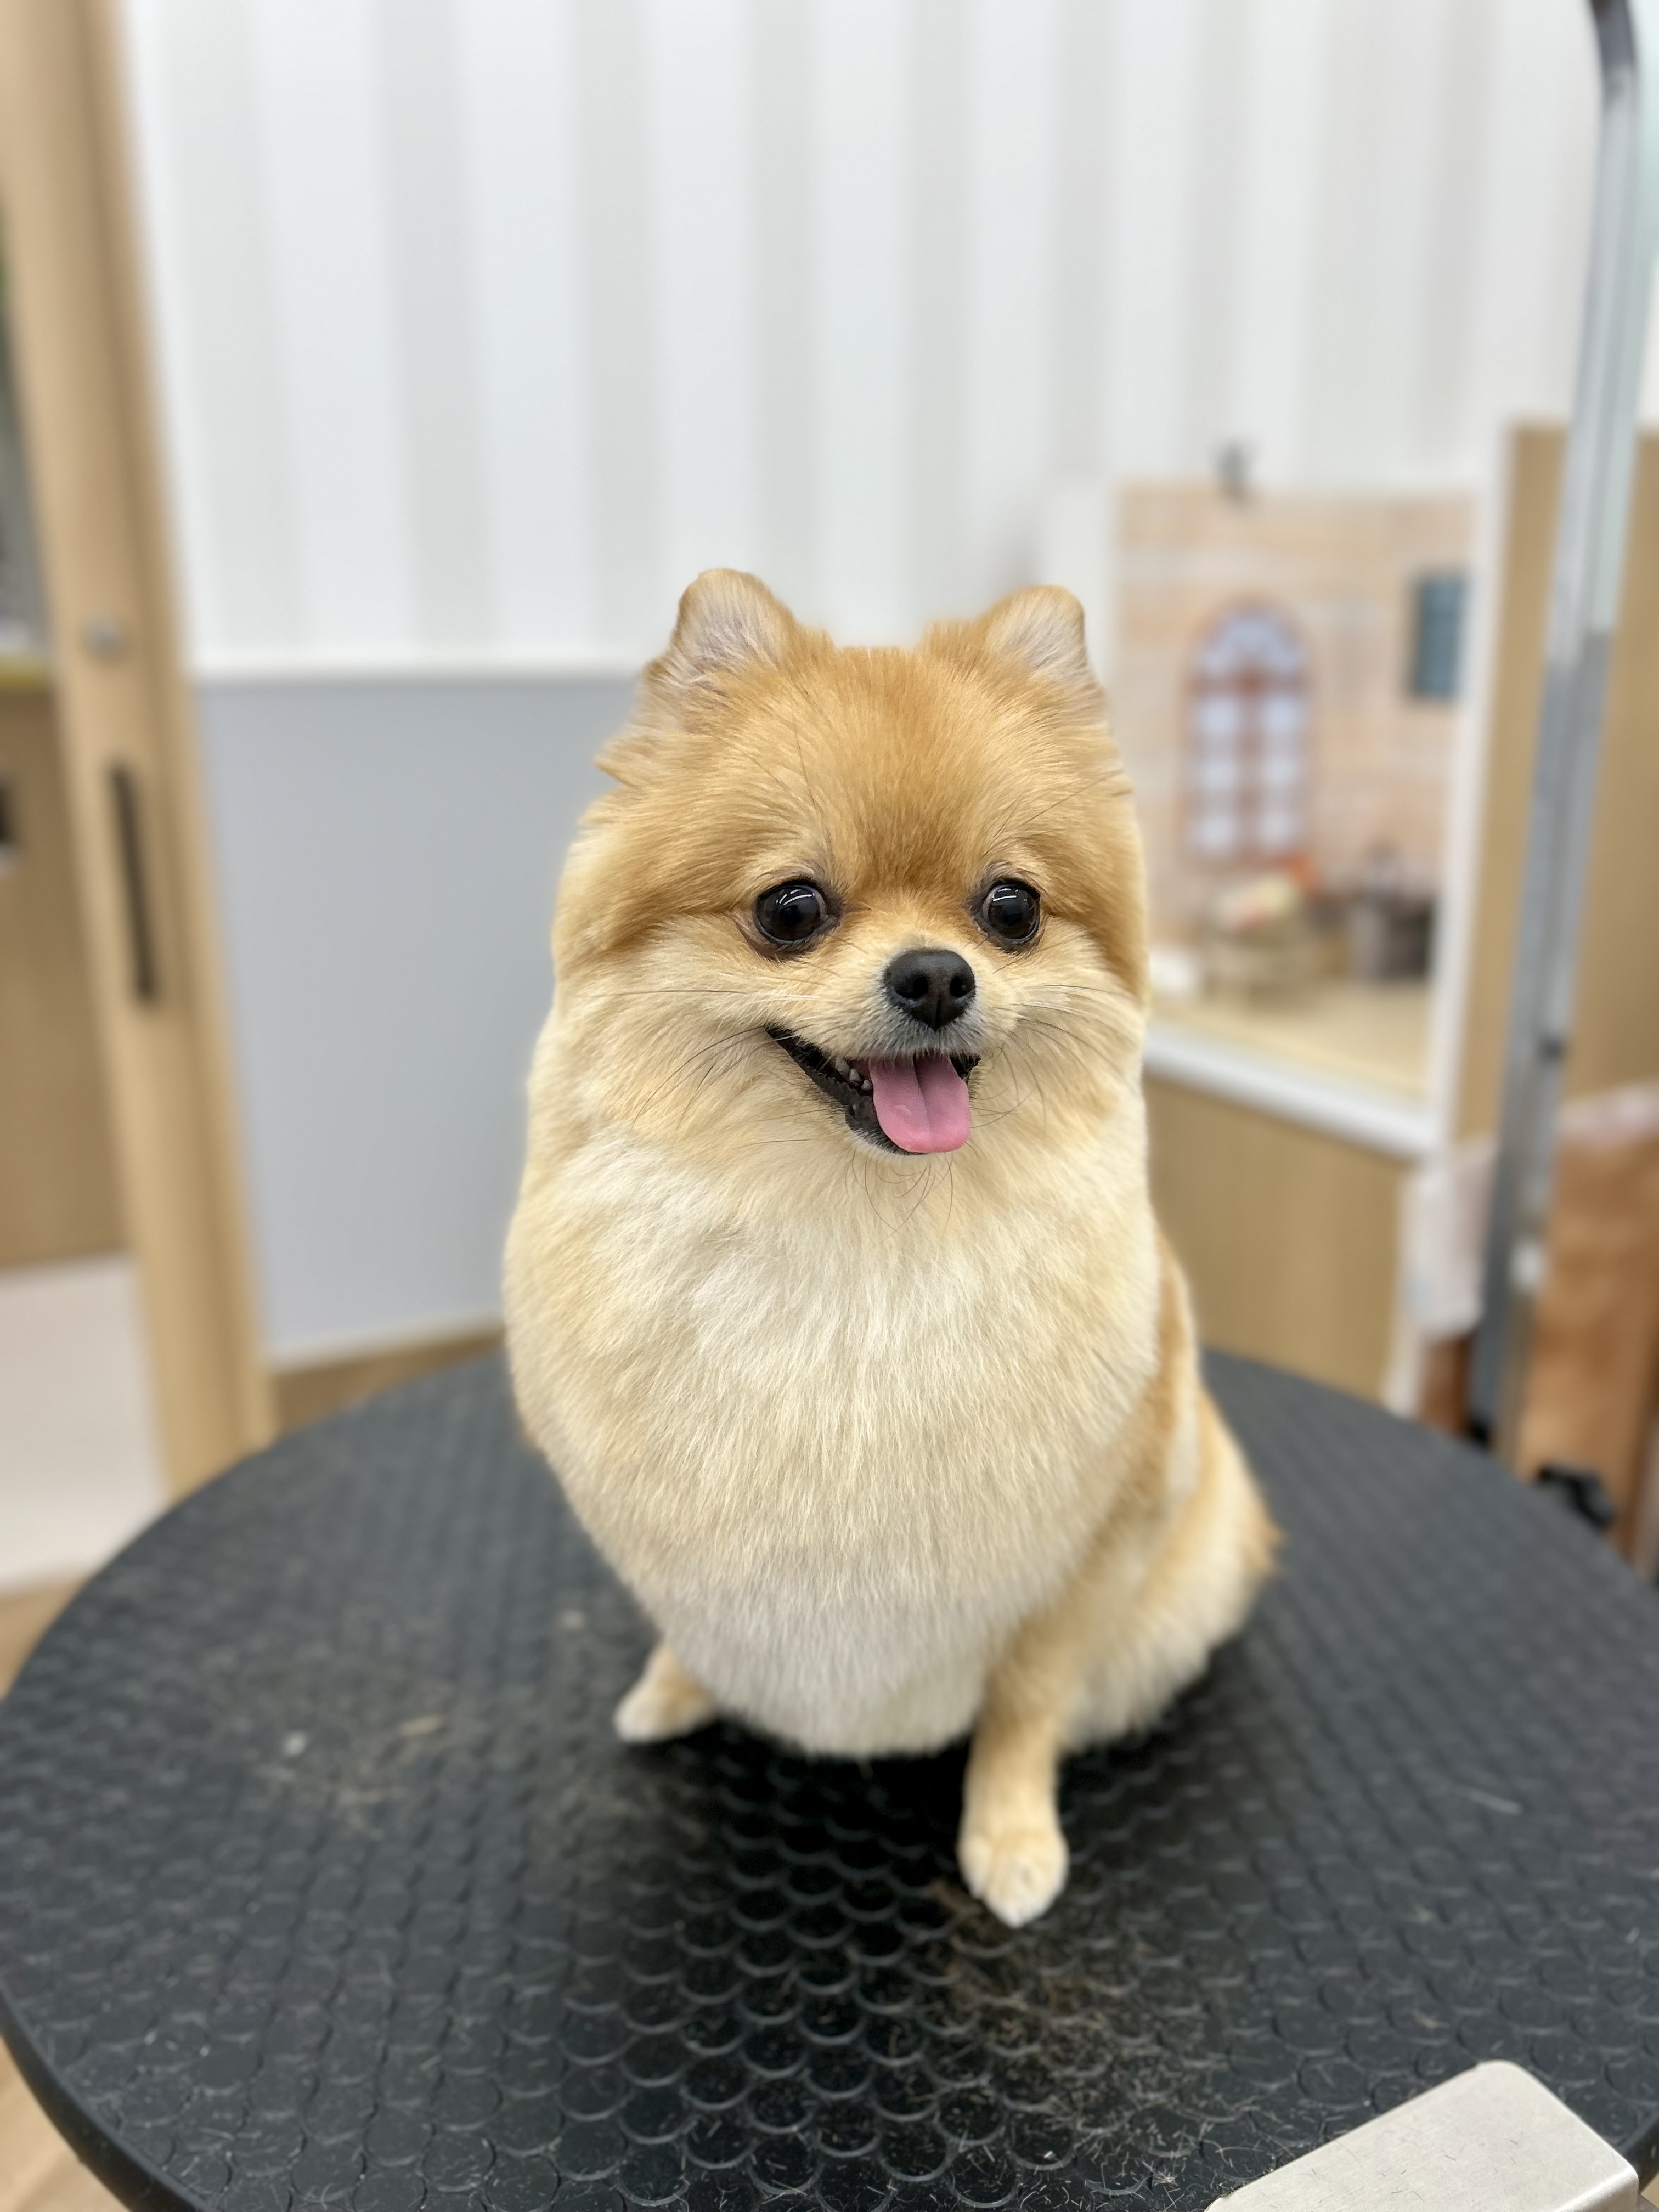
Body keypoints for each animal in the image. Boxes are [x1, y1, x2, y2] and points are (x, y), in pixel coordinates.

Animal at [505, 571, 1277, 1926]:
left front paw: (1010, 1840)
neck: (864, 1232)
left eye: (1010, 907)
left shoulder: (1082, 1559)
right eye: (791, 910)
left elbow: (1021, 1710)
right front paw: (677, 1685)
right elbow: (691, 1623)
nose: (934, 975)